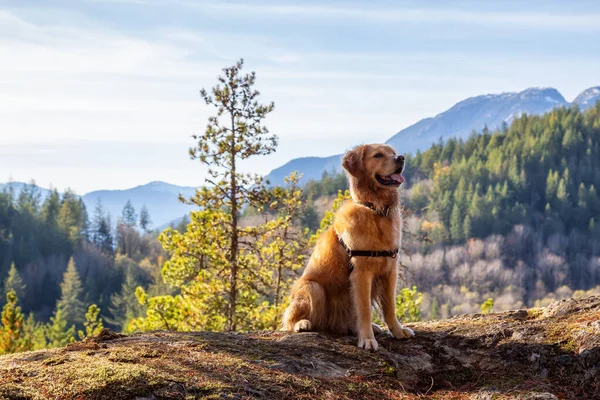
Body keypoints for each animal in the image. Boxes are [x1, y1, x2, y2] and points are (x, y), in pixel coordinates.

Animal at [282, 144, 414, 350]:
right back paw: (302, 324)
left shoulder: (390, 270)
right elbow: (365, 311)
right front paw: (367, 339)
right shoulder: (361, 273)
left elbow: (390, 307)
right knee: (291, 319)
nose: (400, 158)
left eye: (393, 153)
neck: (375, 209)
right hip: (313, 288)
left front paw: (398, 331)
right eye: (378, 155)